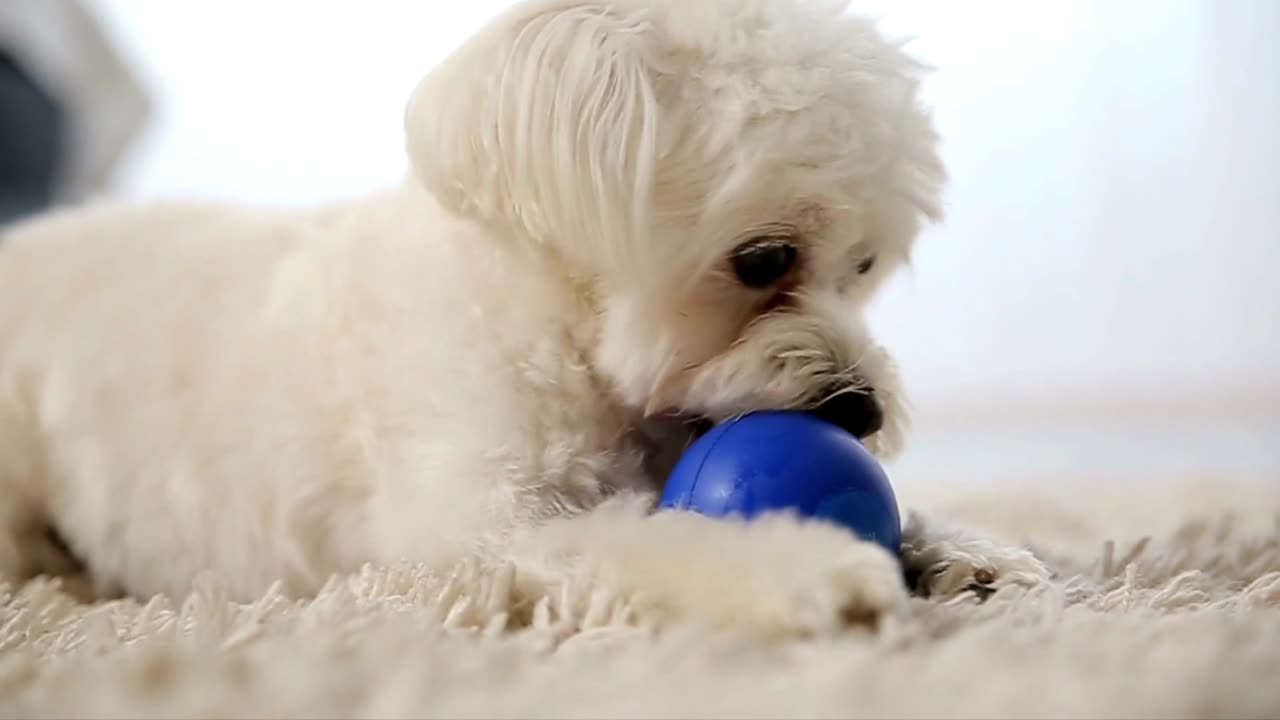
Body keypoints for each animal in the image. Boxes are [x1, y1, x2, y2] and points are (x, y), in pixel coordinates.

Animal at [0, 0, 1049, 627]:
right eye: (763, 260)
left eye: (864, 266)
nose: (861, 411)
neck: (555, 330)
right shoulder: (487, 526)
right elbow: (661, 538)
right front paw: (815, 571)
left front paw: (968, 551)